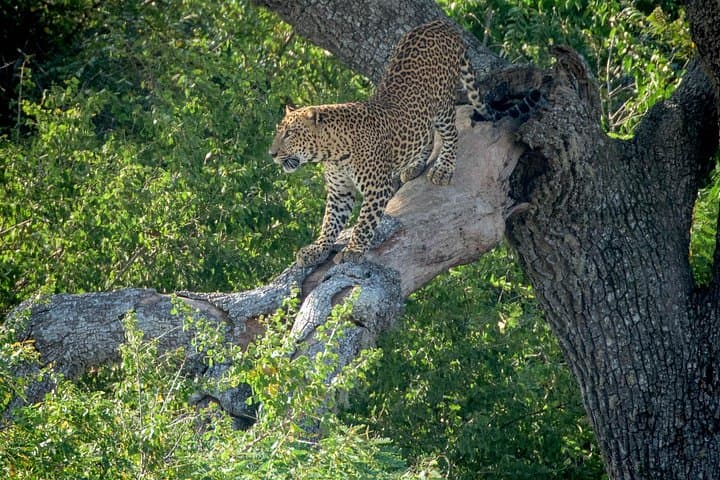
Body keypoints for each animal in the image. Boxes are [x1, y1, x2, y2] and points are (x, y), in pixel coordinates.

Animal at [269, 20, 538, 267]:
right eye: (280, 132)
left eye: (289, 134)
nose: (271, 153)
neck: (332, 153)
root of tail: (440, 24)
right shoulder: (339, 192)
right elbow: (329, 223)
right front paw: (316, 250)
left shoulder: (377, 188)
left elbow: (364, 221)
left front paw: (354, 249)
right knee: (426, 134)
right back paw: (415, 166)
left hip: (442, 105)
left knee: (451, 134)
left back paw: (443, 169)